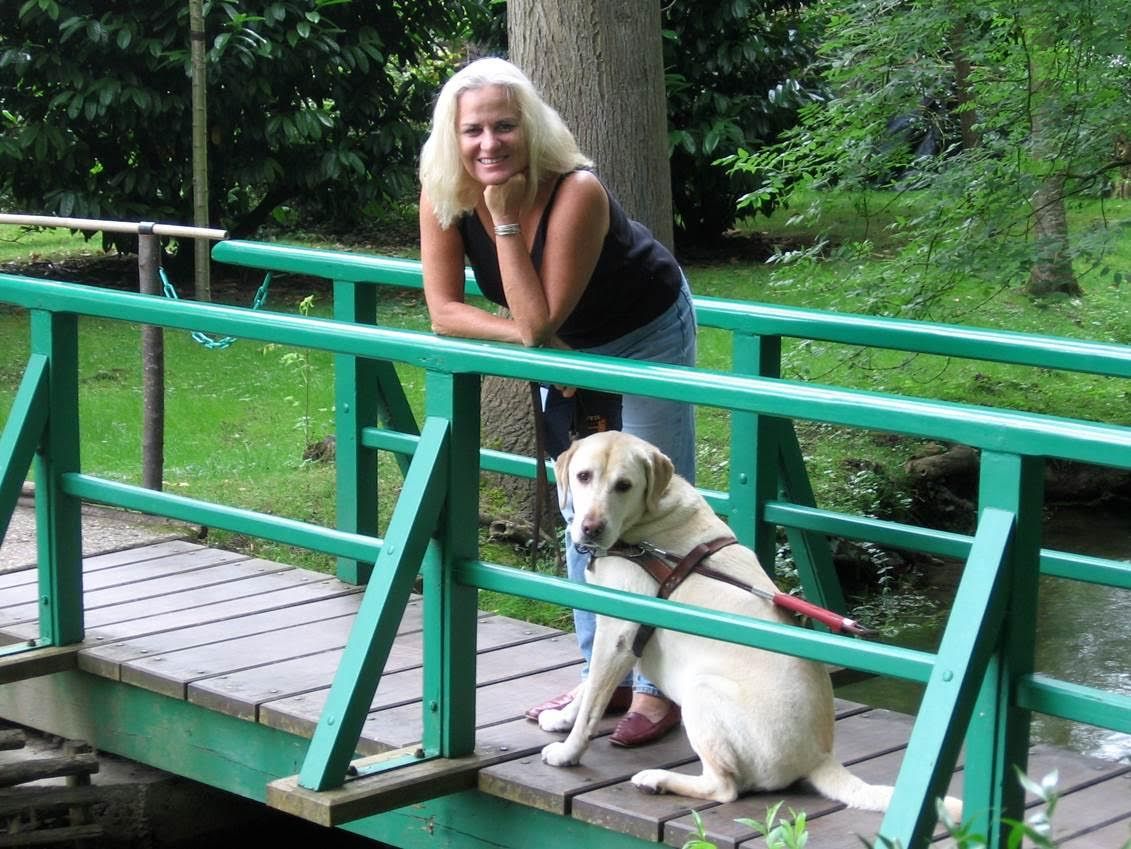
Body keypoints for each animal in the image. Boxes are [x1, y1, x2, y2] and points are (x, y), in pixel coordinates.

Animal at [533, 431, 959, 818]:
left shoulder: (619, 632)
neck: (645, 528)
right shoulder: (610, 631)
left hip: (701, 690)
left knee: (725, 788)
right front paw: (562, 719)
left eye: (624, 485)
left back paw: (657, 779)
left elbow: (593, 702)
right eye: (583, 476)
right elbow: (588, 689)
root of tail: (819, 756)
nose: (590, 528)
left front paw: (569, 752)